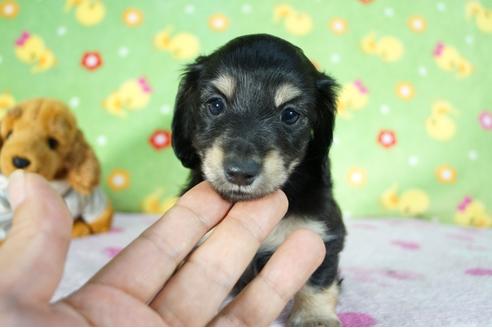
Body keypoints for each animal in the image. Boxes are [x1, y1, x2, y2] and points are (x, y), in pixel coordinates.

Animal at [172, 33, 346, 326]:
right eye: (215, 105)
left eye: (290, 114)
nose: (240, 172)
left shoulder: (320, 233)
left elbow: (317, 280)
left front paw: (315, 317)